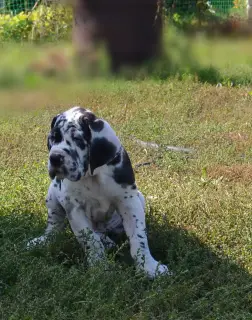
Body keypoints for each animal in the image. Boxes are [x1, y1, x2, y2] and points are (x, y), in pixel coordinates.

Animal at [27, 107, 168, 278]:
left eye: (78, 139)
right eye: (54, 137)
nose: (55, 158)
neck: (92, 175)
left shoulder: (129, 201)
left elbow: (139, 238)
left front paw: (149, 267)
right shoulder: (75, 209)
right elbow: (91, 240)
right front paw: (100, 268)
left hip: (140, 198)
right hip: (52, 196)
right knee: (54, 226)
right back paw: (44, 240)